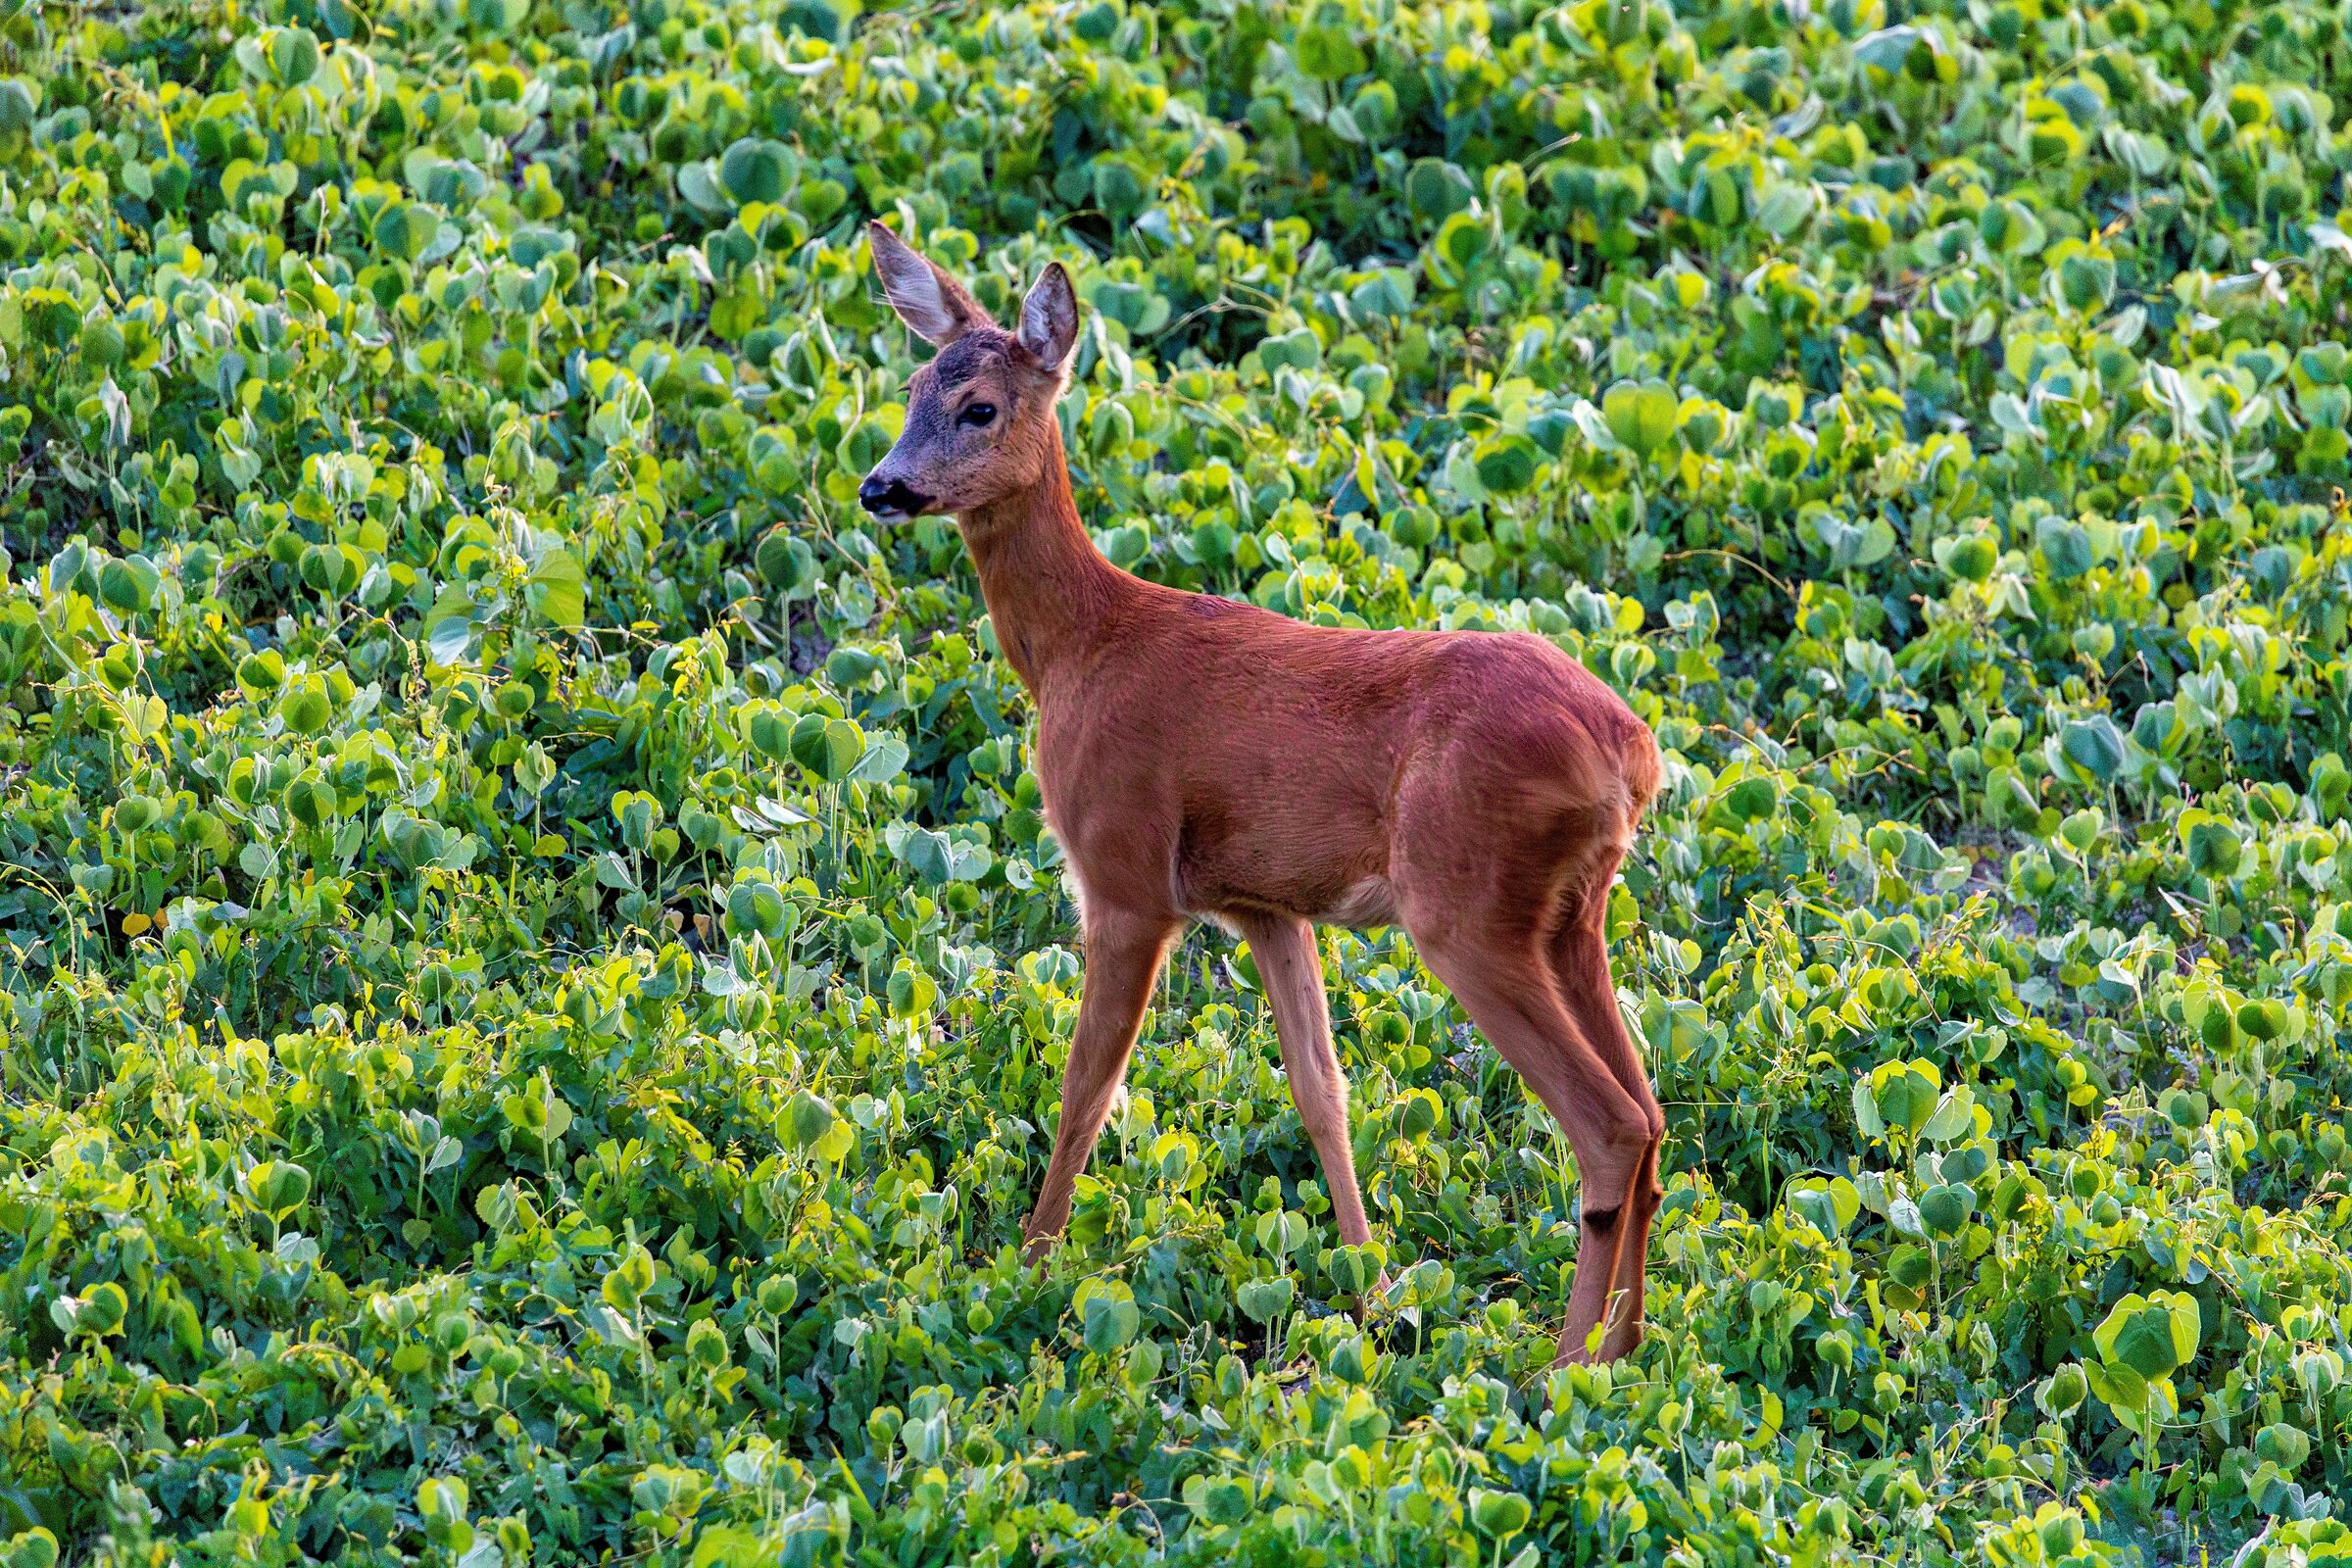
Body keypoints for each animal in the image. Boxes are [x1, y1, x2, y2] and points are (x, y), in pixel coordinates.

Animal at [854, 222, 1666, 1363]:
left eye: (980, 407)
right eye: (913, 385)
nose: (882, 486)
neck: (1079, 646)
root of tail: (1631, 753)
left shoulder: (1125, 873)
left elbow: (1087, 1088)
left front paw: (1029, 1266)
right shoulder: (1267, 905)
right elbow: (1322, 1089)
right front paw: (1372, 1292)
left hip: (1466, 910)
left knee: (1612, 1126)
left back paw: (1568, 1367)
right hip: (1569, 915)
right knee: (1654, 1113)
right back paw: (1625, 1348)